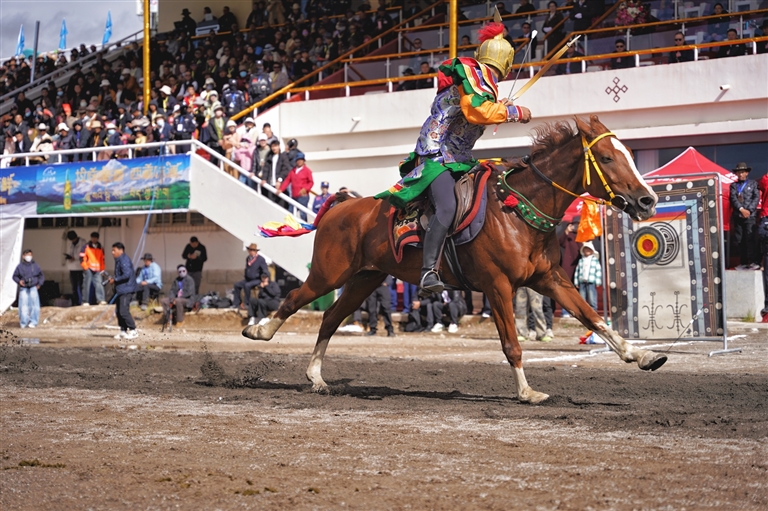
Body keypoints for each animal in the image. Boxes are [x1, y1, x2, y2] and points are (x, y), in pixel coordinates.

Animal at [243, 115, 666, 403]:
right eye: (608, 158)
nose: (648, 200)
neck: (517, 211)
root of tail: (340, 206)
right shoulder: (497, 286)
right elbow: (512, 344)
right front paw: (527, 392)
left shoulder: (549, 280)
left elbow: (593, 317)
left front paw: (641, 354)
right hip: (330, 274)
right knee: (294, 299)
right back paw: (259, 331)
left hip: (366, 278)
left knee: (331, 317)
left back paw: (316, 377)